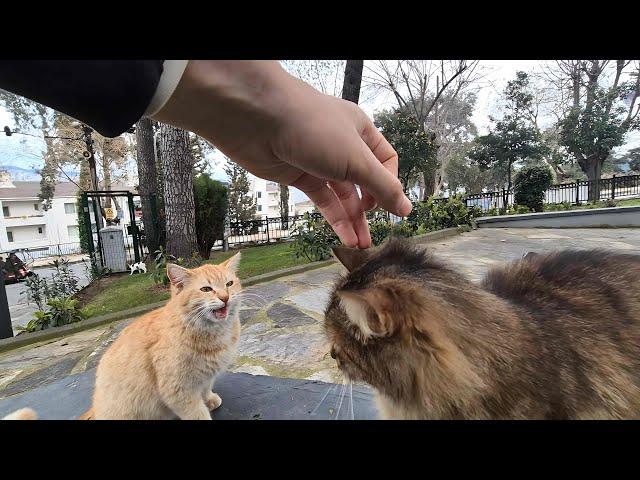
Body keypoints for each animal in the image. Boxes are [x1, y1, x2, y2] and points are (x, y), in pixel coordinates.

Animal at [3, 255, 240, 420]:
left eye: (229, 284)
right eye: (206, 289)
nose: (225, 297)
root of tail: (96, 409)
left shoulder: (206, 377)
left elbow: (206, 388)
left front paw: (210, 399)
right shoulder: (178, 391)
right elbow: (196, 413)